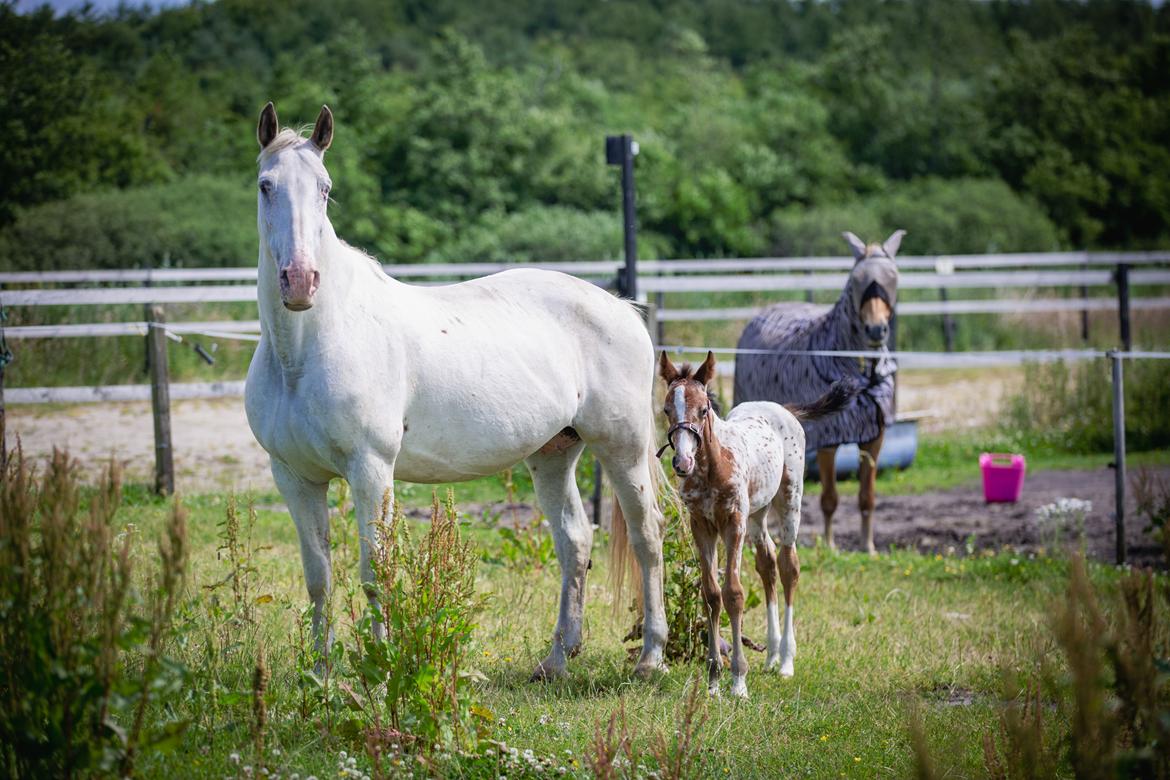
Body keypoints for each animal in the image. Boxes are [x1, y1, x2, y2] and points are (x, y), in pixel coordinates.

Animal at [243, 102, 673, 678]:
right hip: (553, 454)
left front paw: (382, 669)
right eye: (266, 185)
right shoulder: (294, 477)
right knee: (575, 542)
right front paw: (321, 674)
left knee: (648, 537)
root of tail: (623, 309)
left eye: (325, 189)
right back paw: (557, 659)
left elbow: (376, 572)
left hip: (621, 449)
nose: (300, 281)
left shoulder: (370, 469)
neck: (308, 347)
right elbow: (319, 577)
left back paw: (650, 657)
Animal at [659, 350, 851, 696]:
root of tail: (782, 408)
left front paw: (738, 681)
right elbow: (711, 595)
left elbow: (733, 593)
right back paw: (771, 655)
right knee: (768, 563)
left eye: (703, 409)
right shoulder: (702, 525)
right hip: (757, 515)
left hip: (789, 500)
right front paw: (713, 681)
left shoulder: (733, 522)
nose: (682, 462)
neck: (713, 467)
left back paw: (786, 660)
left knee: (788, 566)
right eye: (667, 409)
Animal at [730, 231, 903, 554]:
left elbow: (867, 497)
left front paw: (868, 547)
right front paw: (830, 545)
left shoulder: (874, 437)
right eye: (857, 280)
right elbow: (829, 498)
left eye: (893, 277)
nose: (876, 330)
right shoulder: (828, 439)